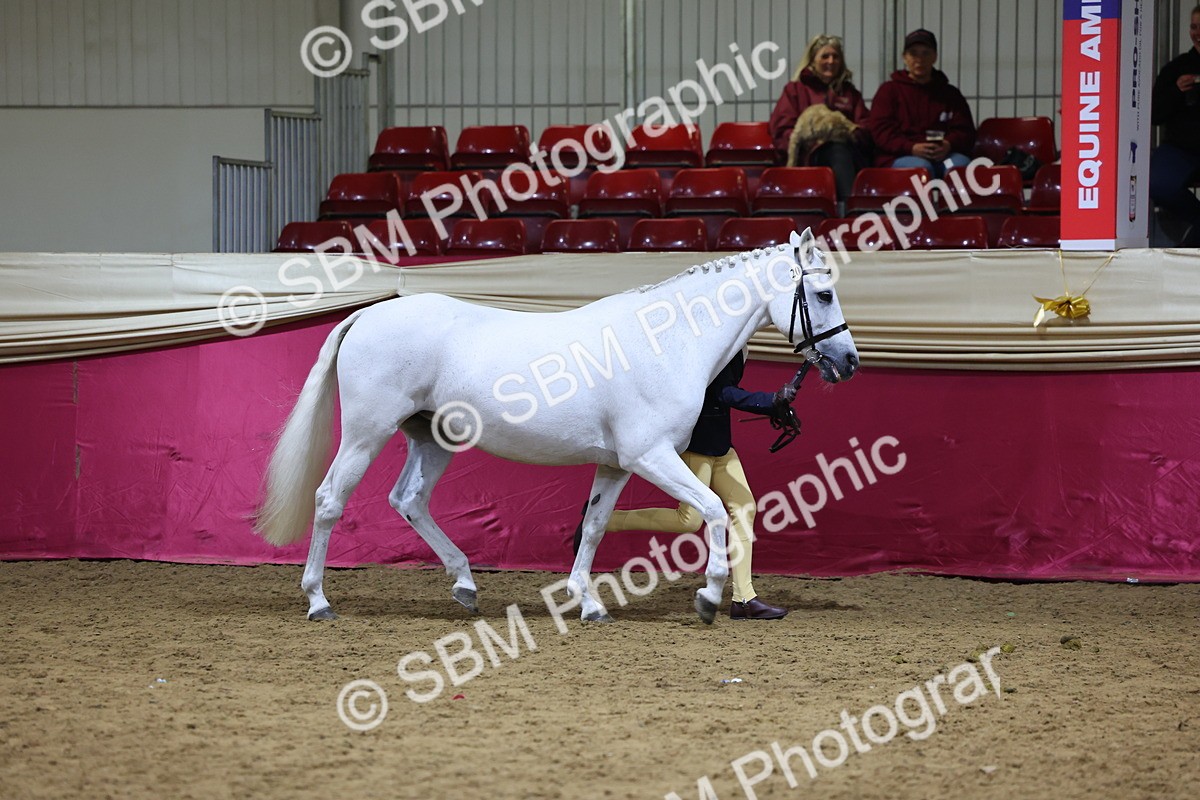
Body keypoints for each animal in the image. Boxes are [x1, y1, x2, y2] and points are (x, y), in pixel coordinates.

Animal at [255, 228, 858, 624]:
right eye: (824, 293)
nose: (849, 362)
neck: (665, 341)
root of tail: (366, 315)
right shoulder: (650, 456)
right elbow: (711, 511)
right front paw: (709, 599)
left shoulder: (616, 465)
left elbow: (593, 527)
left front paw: (589, 604)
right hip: (367, 433)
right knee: (330, 499)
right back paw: (318, 600)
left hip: (431, 437)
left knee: (410, 500)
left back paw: (466, 584)